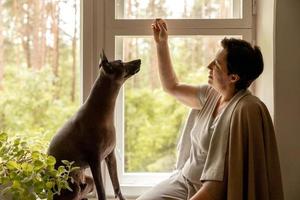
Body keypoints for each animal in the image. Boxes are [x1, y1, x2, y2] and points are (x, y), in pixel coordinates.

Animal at [47, 50, 141, 199]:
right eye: (121, 63)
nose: (139, 60)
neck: (101, 113)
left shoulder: (110, 157)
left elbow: (117, 187)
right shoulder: (95, 161)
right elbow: (101, 191)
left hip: (87, 182)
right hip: (72, 187)